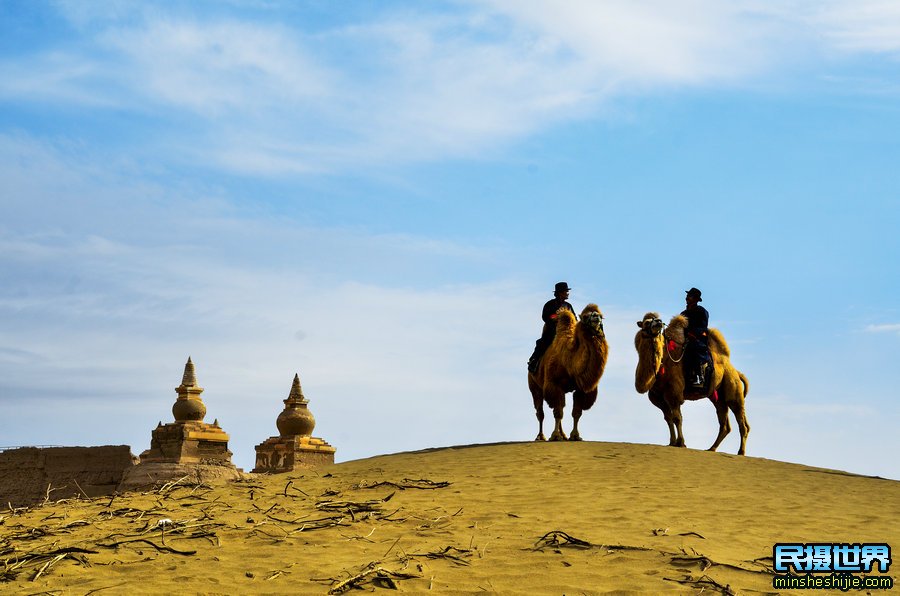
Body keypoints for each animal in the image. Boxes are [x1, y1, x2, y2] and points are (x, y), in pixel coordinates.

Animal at [528, 304, 612, 440]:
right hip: (534, 387)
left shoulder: (581, 390)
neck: (570, 362)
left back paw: (563, 435)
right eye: (585, 316)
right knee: (540, 412)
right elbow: (558, 412)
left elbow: (576, 413)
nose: (596, 317)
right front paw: (555, 435)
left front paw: (575, 436)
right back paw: (541, 436)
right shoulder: (553, 385)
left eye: (601, 316)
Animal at [632, 312, 752, 456]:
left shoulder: (674, 393)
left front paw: (681, 443)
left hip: (733, 392)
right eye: (646, 322)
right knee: (725, 424)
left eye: (656, 320)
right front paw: (672, 442)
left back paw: (741, 451)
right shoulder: (658, 398)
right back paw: (711, 448)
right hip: (718, 398)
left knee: (742, 423)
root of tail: (736, 372)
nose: (659, 322)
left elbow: (677, 418)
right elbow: (668, 418)